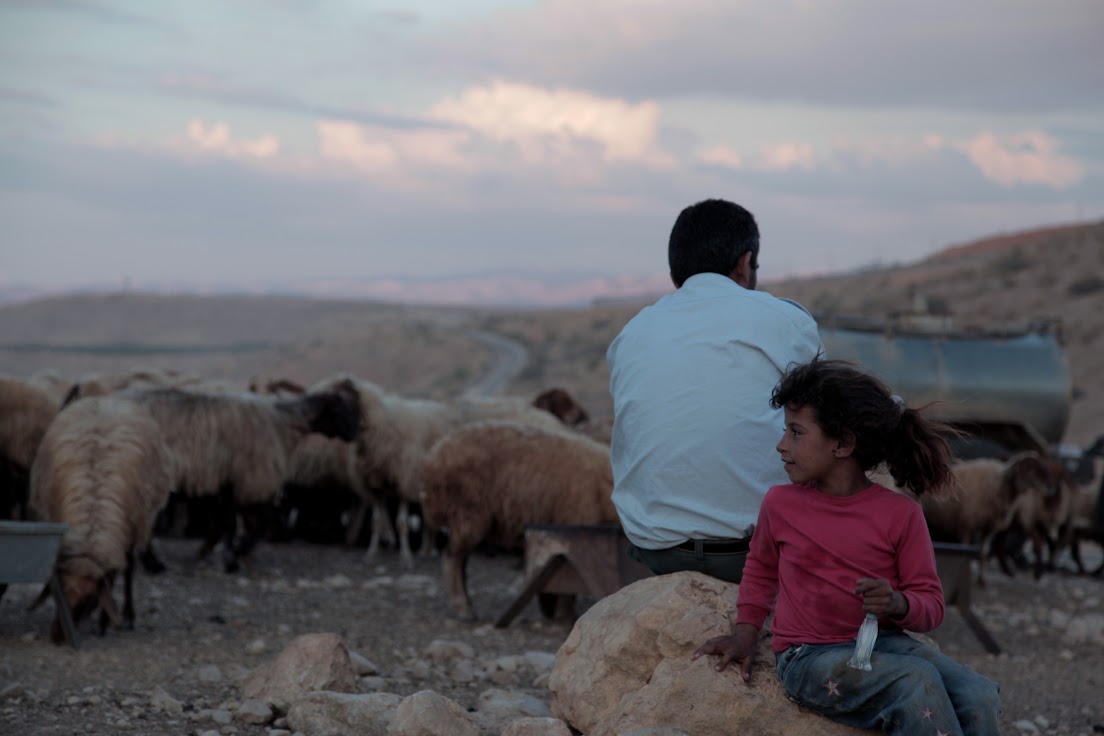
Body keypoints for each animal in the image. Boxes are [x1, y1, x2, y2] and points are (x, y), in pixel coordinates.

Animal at [417, 419, 618, 622]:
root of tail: (432, 457)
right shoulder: (572, 525)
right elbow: (568, 580)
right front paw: (565, 614)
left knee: (461, 560)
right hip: (468, 511)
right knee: (452, 557)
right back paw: (463, 608)